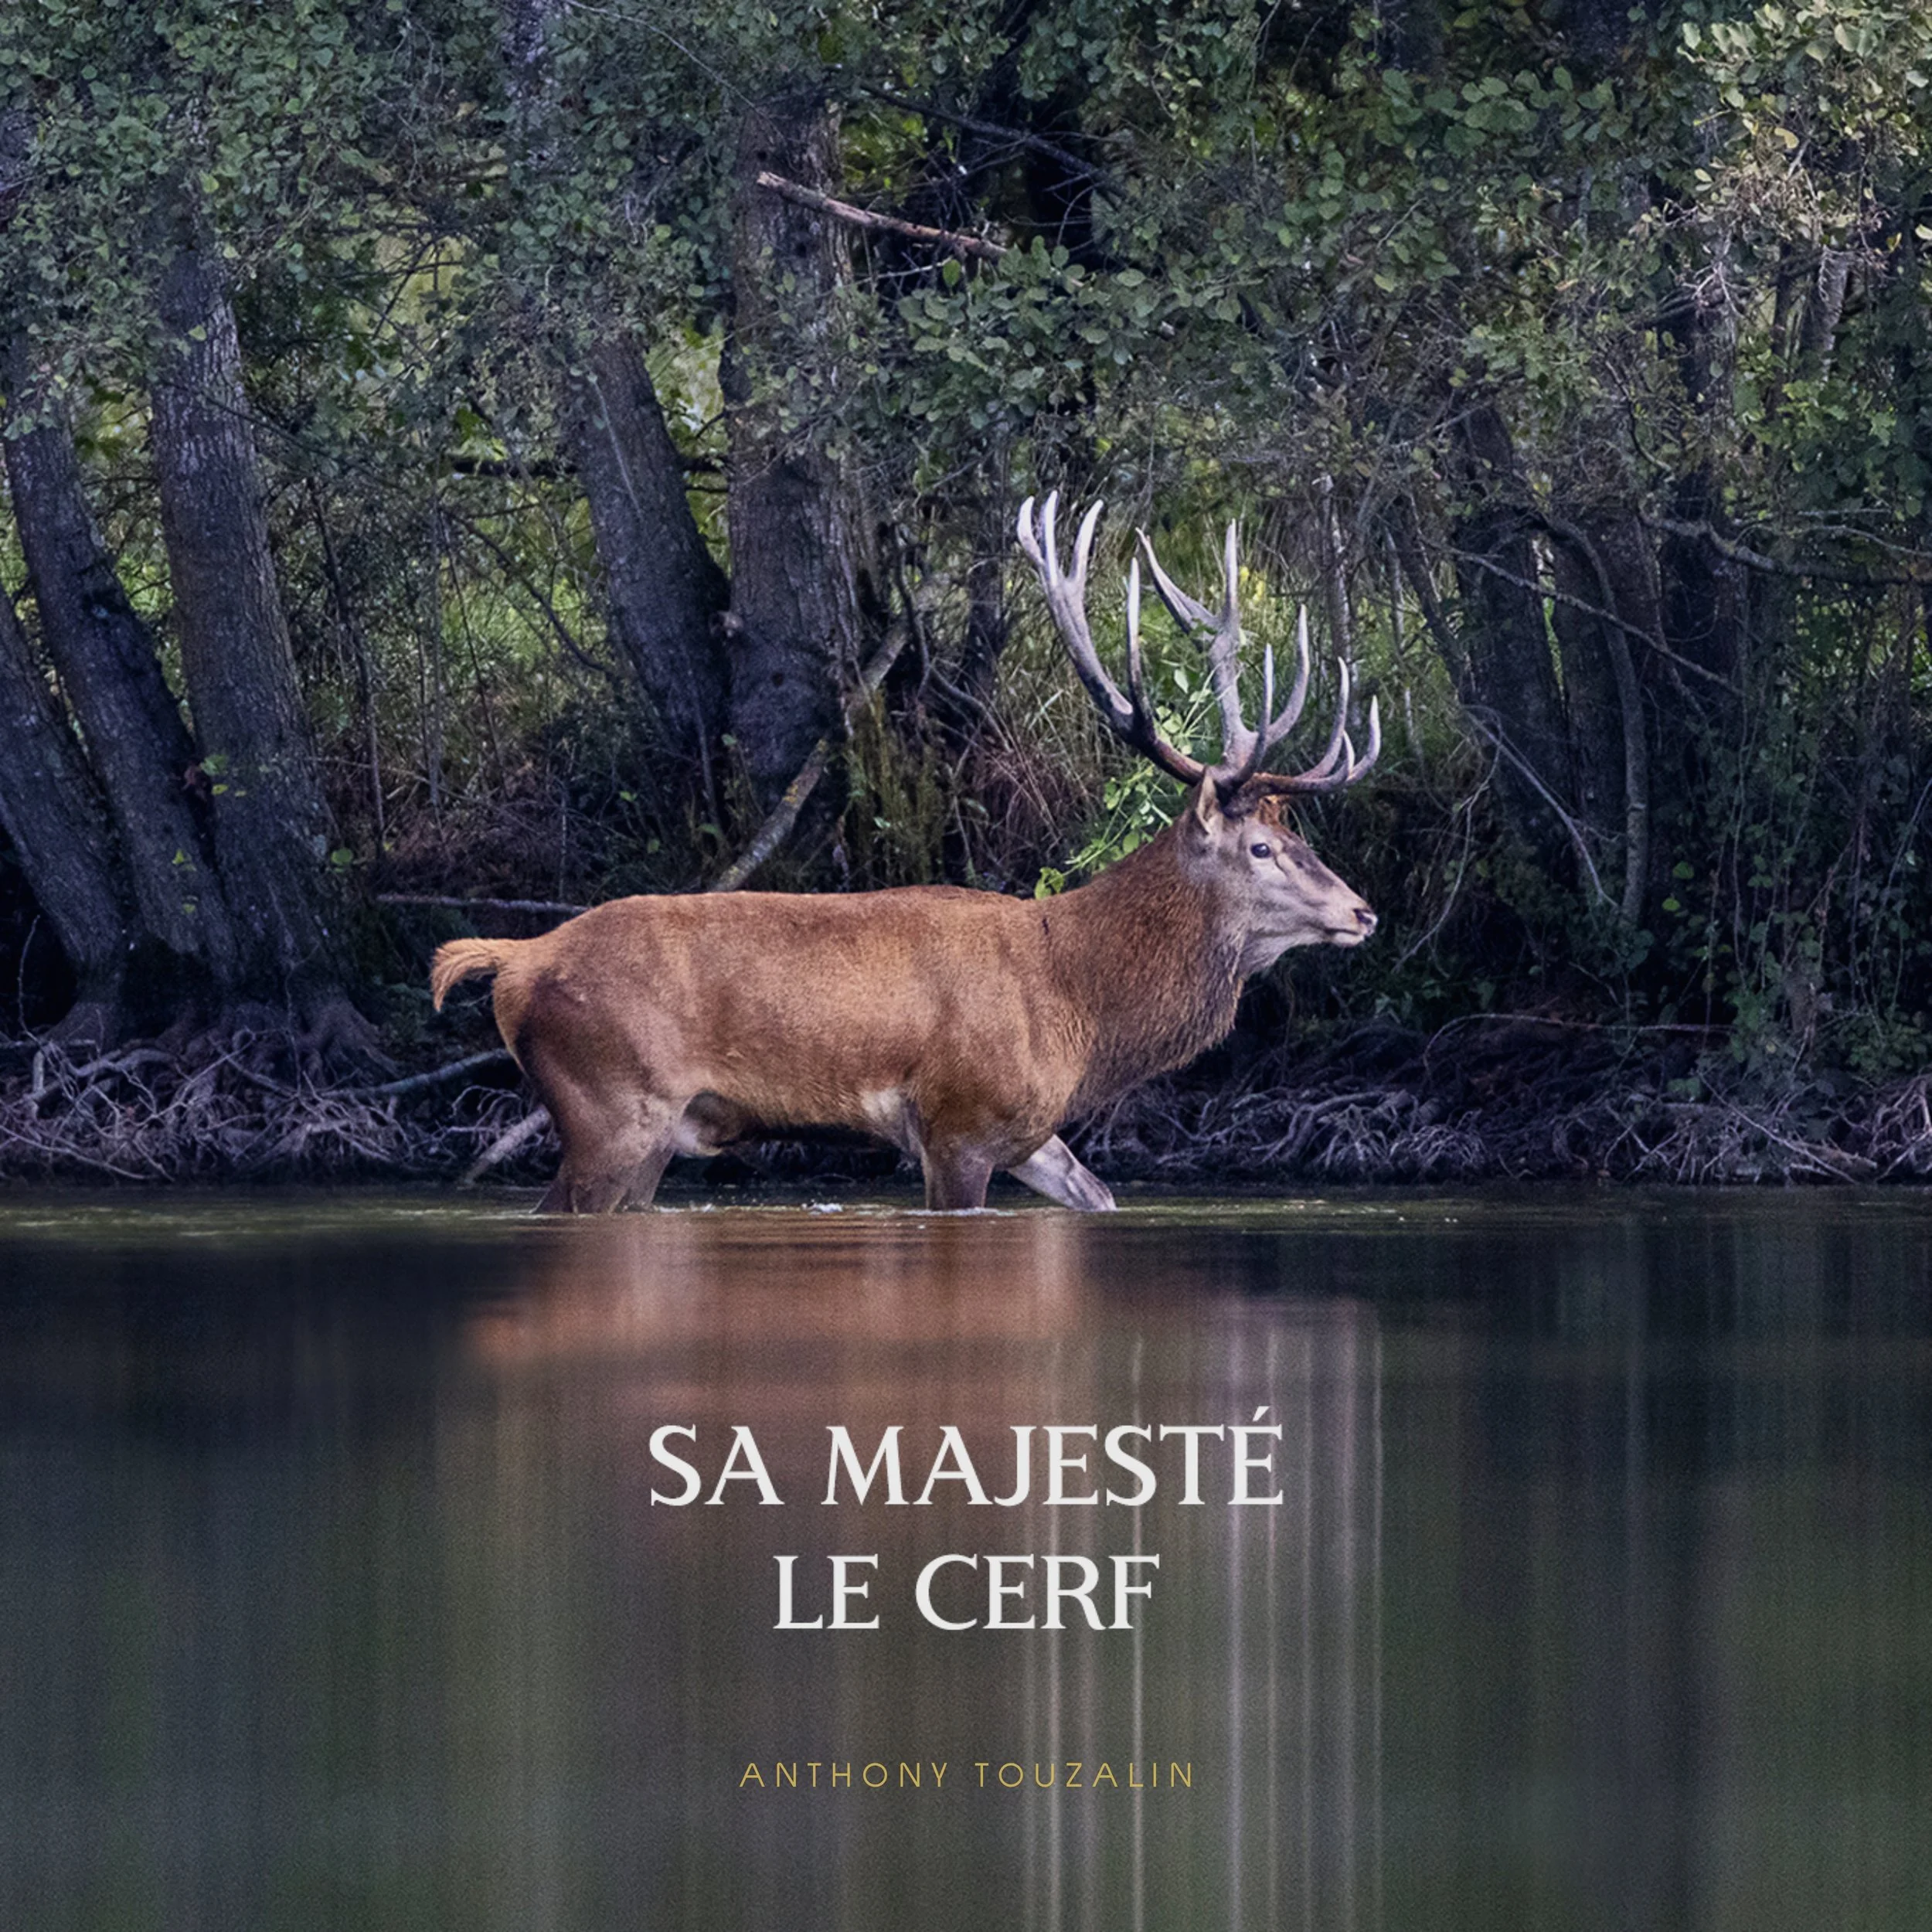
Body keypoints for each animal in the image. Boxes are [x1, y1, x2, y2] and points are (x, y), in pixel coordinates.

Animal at [431, 494, 1379, 1213]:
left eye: (1296, 836)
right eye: (1262, 845)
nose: (1363, 911)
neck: (1076, 1004)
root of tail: (514, 960)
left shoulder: (1031, 1133)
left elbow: (1100, 1196)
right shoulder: (957, 1118)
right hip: (610, 1108)